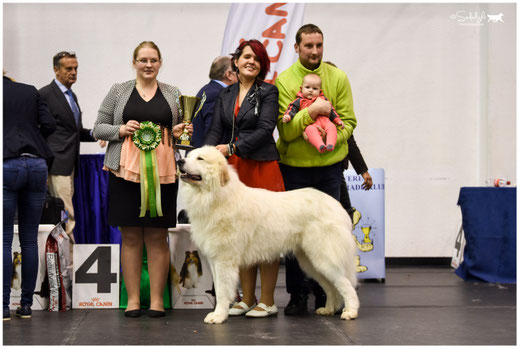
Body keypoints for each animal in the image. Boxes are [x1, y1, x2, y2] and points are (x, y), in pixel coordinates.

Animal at [178, 145, 358, 322]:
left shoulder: (224, 260)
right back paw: (328, 309)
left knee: (346, 285)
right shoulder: (214, 260)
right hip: (311, 262)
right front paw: (218, 313)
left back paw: (350, 311)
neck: (217, 196)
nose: (180, 161)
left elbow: (222, 291)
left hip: (324, 259)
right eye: (189, 156)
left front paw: (219, 316)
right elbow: (219, 287)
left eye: (200, 159)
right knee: (330, 287)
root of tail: (337, 206)